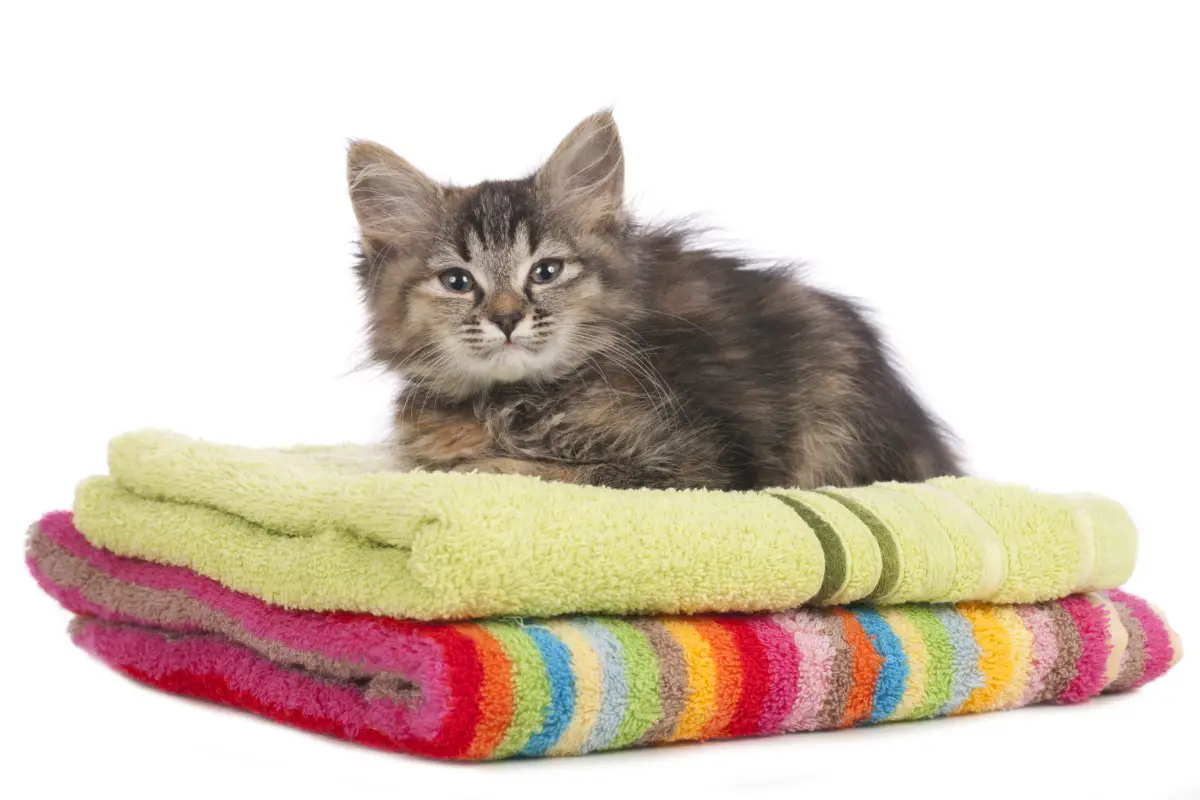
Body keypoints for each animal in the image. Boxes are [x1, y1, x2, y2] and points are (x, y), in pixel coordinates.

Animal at [343, 110, 960, 491]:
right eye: (458, 281)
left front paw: (483, 465)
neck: (511, 403)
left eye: (546, 271)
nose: (507, 319)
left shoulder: (698, 465)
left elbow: (544, 470)